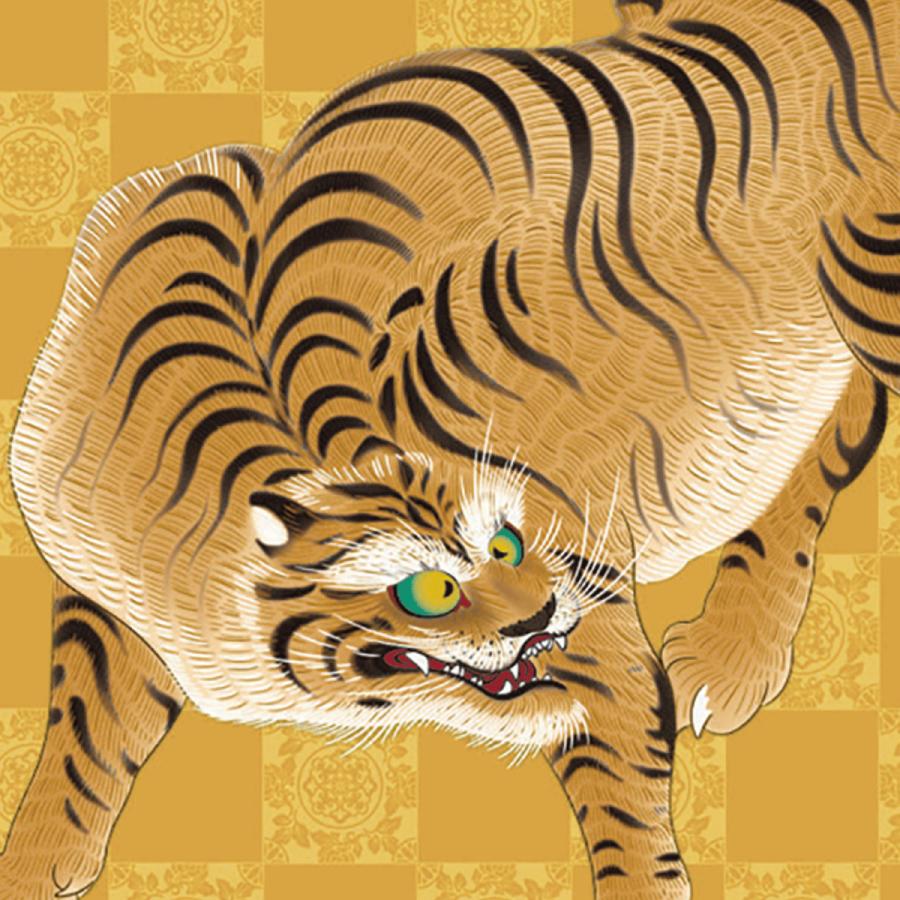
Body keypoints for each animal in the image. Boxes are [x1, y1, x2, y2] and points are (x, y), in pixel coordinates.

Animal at [2, 0, 898, 895]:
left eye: (506, 541)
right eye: (430, 589)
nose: (541, 615)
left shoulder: (592, 600)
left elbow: (621, 776)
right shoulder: (101, 594)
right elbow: (81, 726)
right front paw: (35, 859)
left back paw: (730, 657)